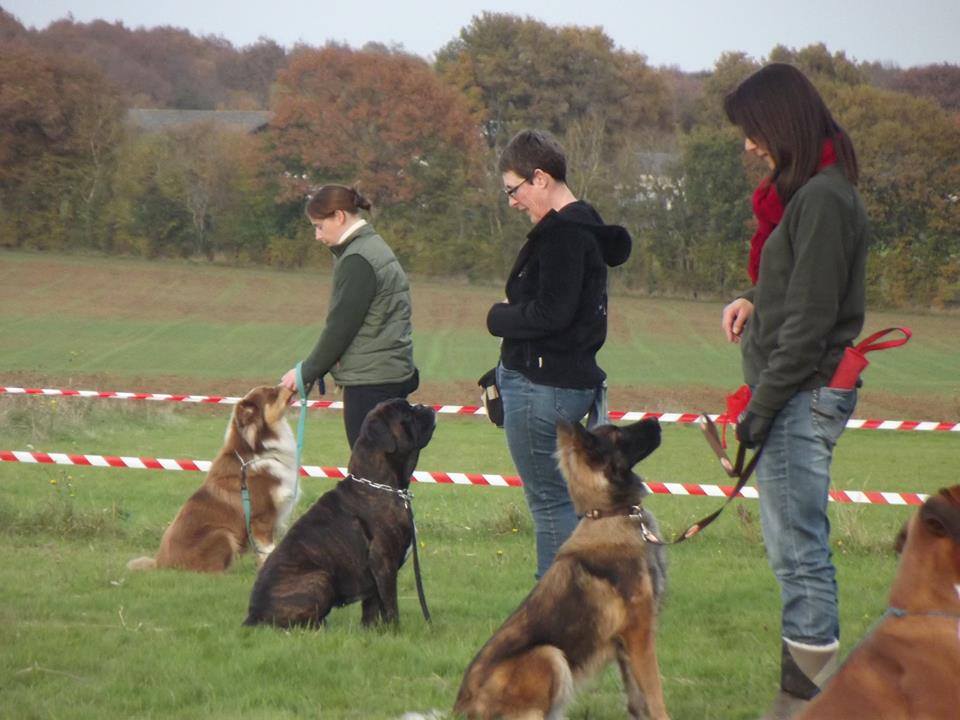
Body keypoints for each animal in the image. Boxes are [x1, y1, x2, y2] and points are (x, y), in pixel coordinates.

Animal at [127, 386, 298, 576]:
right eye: (272, 393)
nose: (292, 386)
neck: (259, 450)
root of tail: (160, 564)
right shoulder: (261, 518)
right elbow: (268, 550)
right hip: (221, 533)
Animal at [242, 396, 436, 628]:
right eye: (406, 414)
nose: (424, 407)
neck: (379, 484)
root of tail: (253, 614)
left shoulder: (374, 574)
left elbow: (372, 607)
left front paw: (373, 631)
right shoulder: (383, 561)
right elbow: (390, 605)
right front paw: (395, 630)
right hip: (320, 578)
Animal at [456, 416, 668, 720]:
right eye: (618, 433)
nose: (655, 421)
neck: (608, 514)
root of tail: (464, 707)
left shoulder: (626, 646)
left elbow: (638, 701)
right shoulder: (639, 636)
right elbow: (655, 696)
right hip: (550, 655)